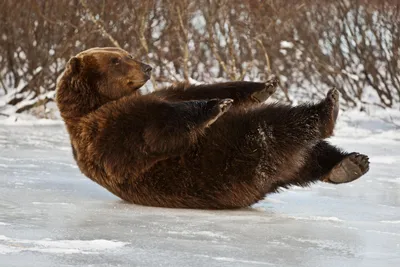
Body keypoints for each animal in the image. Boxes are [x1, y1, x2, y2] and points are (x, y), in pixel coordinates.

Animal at [55, 47, 368, 210]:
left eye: (126, 52)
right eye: (116, 60)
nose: (147, 67)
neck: (96, 102)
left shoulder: (167, 93)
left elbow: (198, 88)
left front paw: (262, 86)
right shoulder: (105, 130)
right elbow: (154, 130)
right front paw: (216, 106)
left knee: (313, 154)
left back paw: (351, 164)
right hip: (242, 151)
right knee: (278, 125)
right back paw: (326, 110)